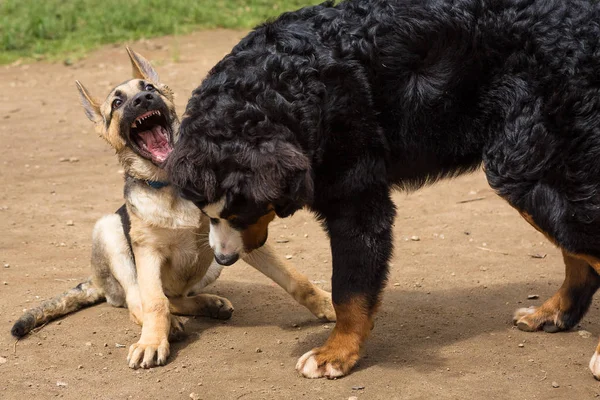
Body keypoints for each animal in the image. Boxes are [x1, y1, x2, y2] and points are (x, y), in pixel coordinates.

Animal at [10, 48, 338, 370]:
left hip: (211, 265)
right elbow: (153, 302)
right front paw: (152, 342)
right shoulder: (147, 251)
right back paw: (169, 325)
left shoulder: (237, 236)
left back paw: (207, 304)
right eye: (117, 103)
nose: (143, 100)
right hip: (110, 233)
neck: (172, 188)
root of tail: (97, 281)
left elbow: (296, 278)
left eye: (149, 88)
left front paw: (328, 305)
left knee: (174, 297)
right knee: (139, 301)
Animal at [168, 0, 600, 380]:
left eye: (242, 213)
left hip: (527, 165)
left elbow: (349, 290)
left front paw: (335, 354)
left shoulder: (355, 200)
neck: (290, 88)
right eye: (205, 214)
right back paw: (551, 313)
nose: (224, 259)